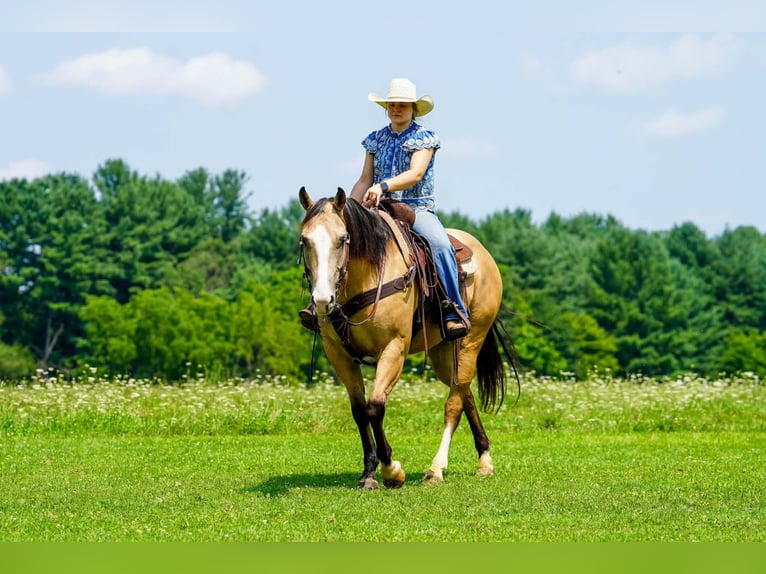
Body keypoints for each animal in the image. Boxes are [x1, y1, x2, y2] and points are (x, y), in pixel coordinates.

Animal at [298, 186, 517, 489]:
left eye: (342, 239)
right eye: (304, 240)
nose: (321, 300)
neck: (368, 273)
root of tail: (484, 254)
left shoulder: (393, 348)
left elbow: (375, 407)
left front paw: (392, 471)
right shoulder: (338, 353)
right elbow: (359, 411)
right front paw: (369, 473)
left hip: (472, 338)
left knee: (454, 402)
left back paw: (436, 468)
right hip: (442, 352)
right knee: (464, 392)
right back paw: (484, 459)